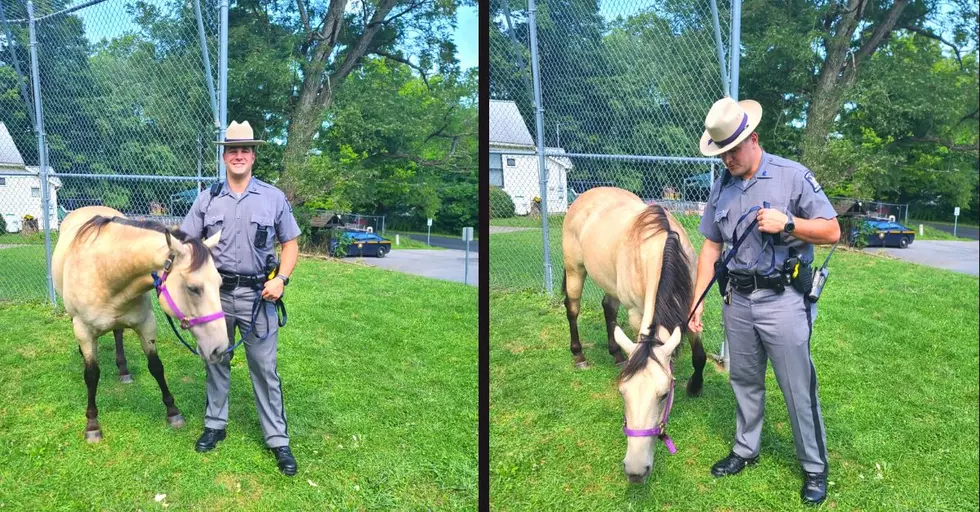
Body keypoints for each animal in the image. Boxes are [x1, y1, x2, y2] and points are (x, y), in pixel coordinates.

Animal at [54, 206, 230, 442]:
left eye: (220, 283)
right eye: (193, 288)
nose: (220, 348)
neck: (106, 270)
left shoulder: (146, 325)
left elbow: (156, 366)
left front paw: (173, 412)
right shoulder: (84, 331)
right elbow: (91, 375)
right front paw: (92, 424)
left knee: (118, 333)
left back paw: (123, 370)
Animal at [560, 186, 704, 482]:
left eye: (663, 395)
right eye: (622, 393)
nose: (635, 471)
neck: (659, 248)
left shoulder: (690, 307)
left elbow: (699, 356)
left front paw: (695, 387)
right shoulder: (637, 315)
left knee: (608, 309)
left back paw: (617, 354)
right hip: (574, 270)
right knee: (573, 308)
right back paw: (579, 355)